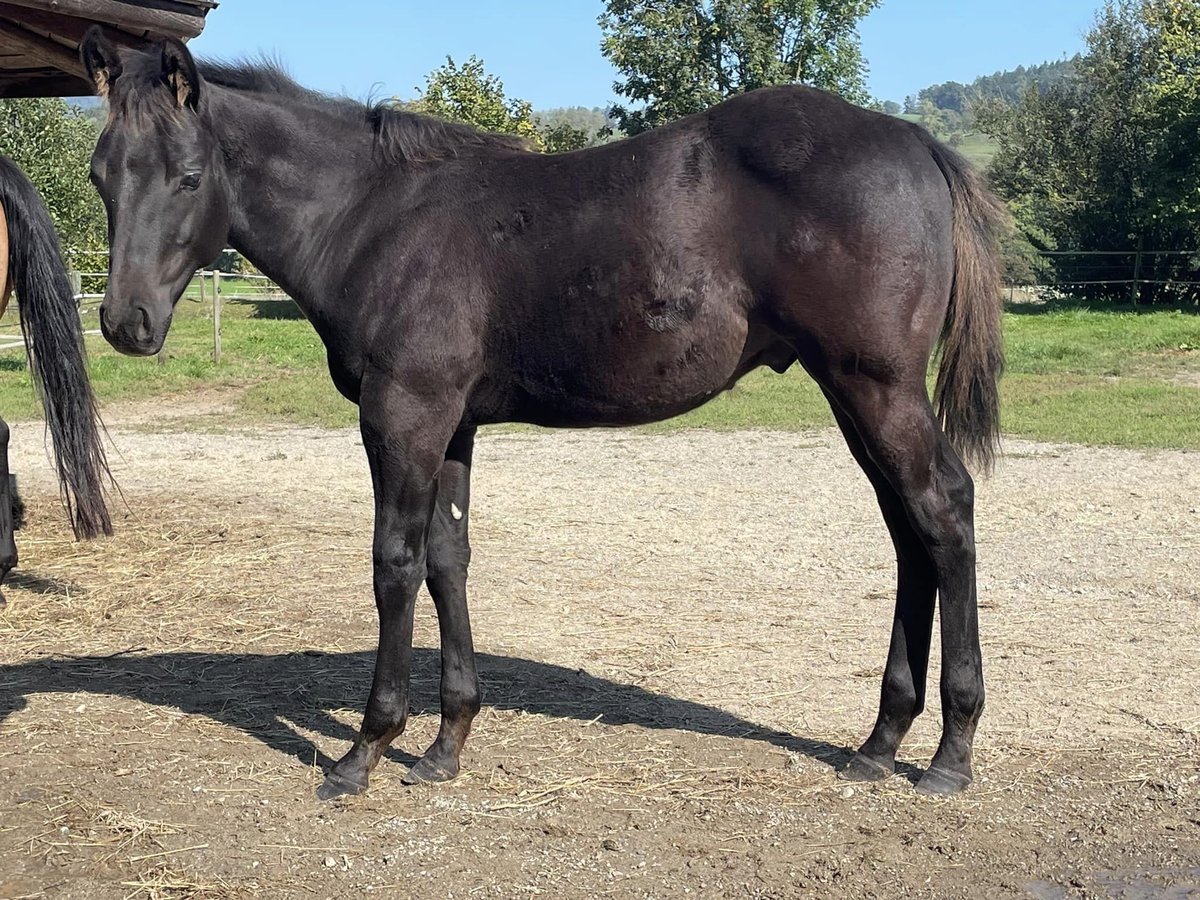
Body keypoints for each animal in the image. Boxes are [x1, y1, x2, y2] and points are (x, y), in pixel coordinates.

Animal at [79, 31, 1008, 801]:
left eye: (188, 178)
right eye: (99, 174)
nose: (126, 324)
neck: (374, 217)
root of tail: (916, 142)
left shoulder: (402, 415)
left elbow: (394, 566)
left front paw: (366, 750)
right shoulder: (451, 425)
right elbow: (449, 560)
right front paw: (445, 745)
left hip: (876, 385)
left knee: (944, 511)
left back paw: (950, 754)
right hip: (853, 393)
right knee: (908, 531)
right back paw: (880, 742)